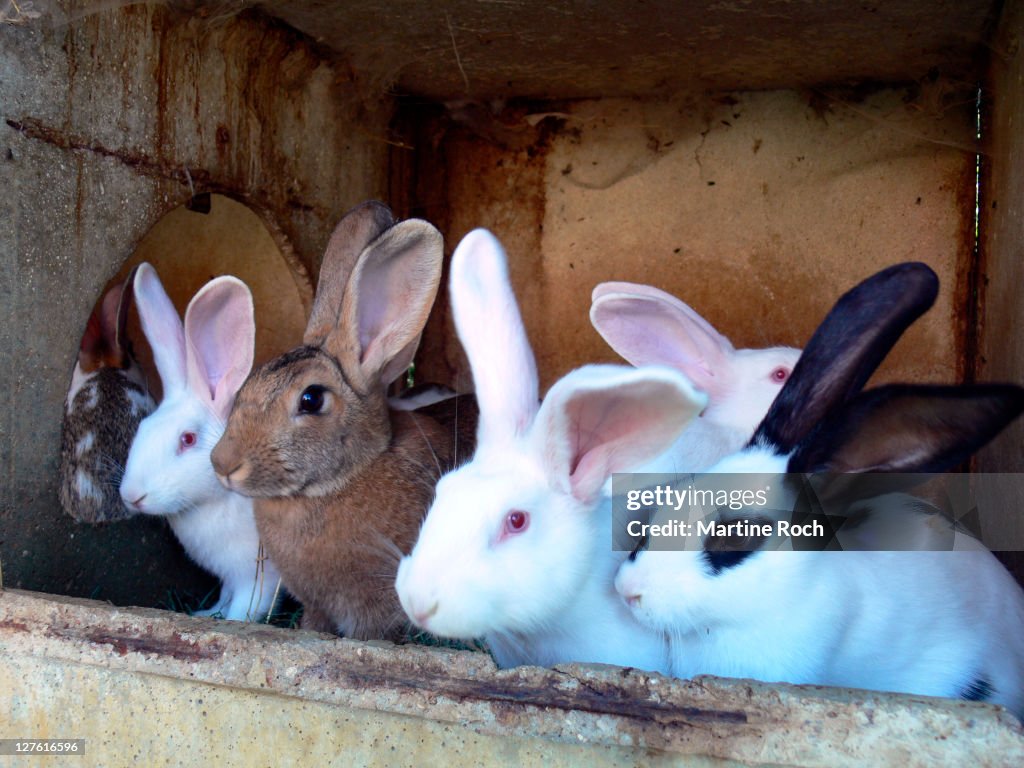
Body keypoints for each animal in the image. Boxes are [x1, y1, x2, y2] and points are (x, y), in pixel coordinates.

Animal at [119, 263, 282, 622]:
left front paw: (230, 622)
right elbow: (224, 596)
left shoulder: (256, 577)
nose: (131, 496)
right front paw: (207, 613)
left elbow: (245, 608)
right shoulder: (229, 577)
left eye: (188, 439)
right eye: (142, 428)